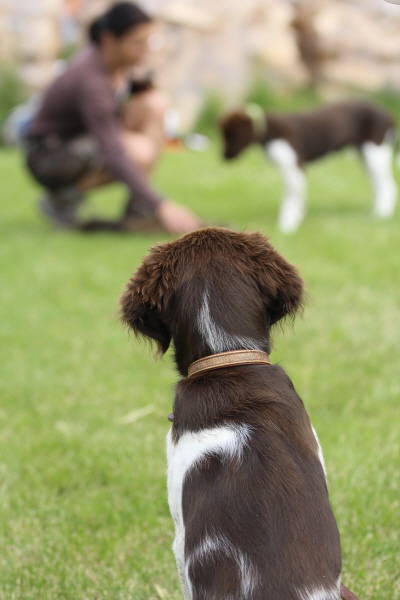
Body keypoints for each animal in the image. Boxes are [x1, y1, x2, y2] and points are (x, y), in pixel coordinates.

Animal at [220, 101, 398, 232]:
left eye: (233, 136)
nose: (223, 158)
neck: (268, 129)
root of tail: (388, 114)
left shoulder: (294, 168)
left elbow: (291, 198)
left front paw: (287, 225)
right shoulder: (292, 171)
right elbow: (297, 196)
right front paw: (297, 218)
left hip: (375, 154)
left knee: (388, 185)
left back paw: (381, 215)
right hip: (365, 156)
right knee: (377, 184)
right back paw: (376, 212)